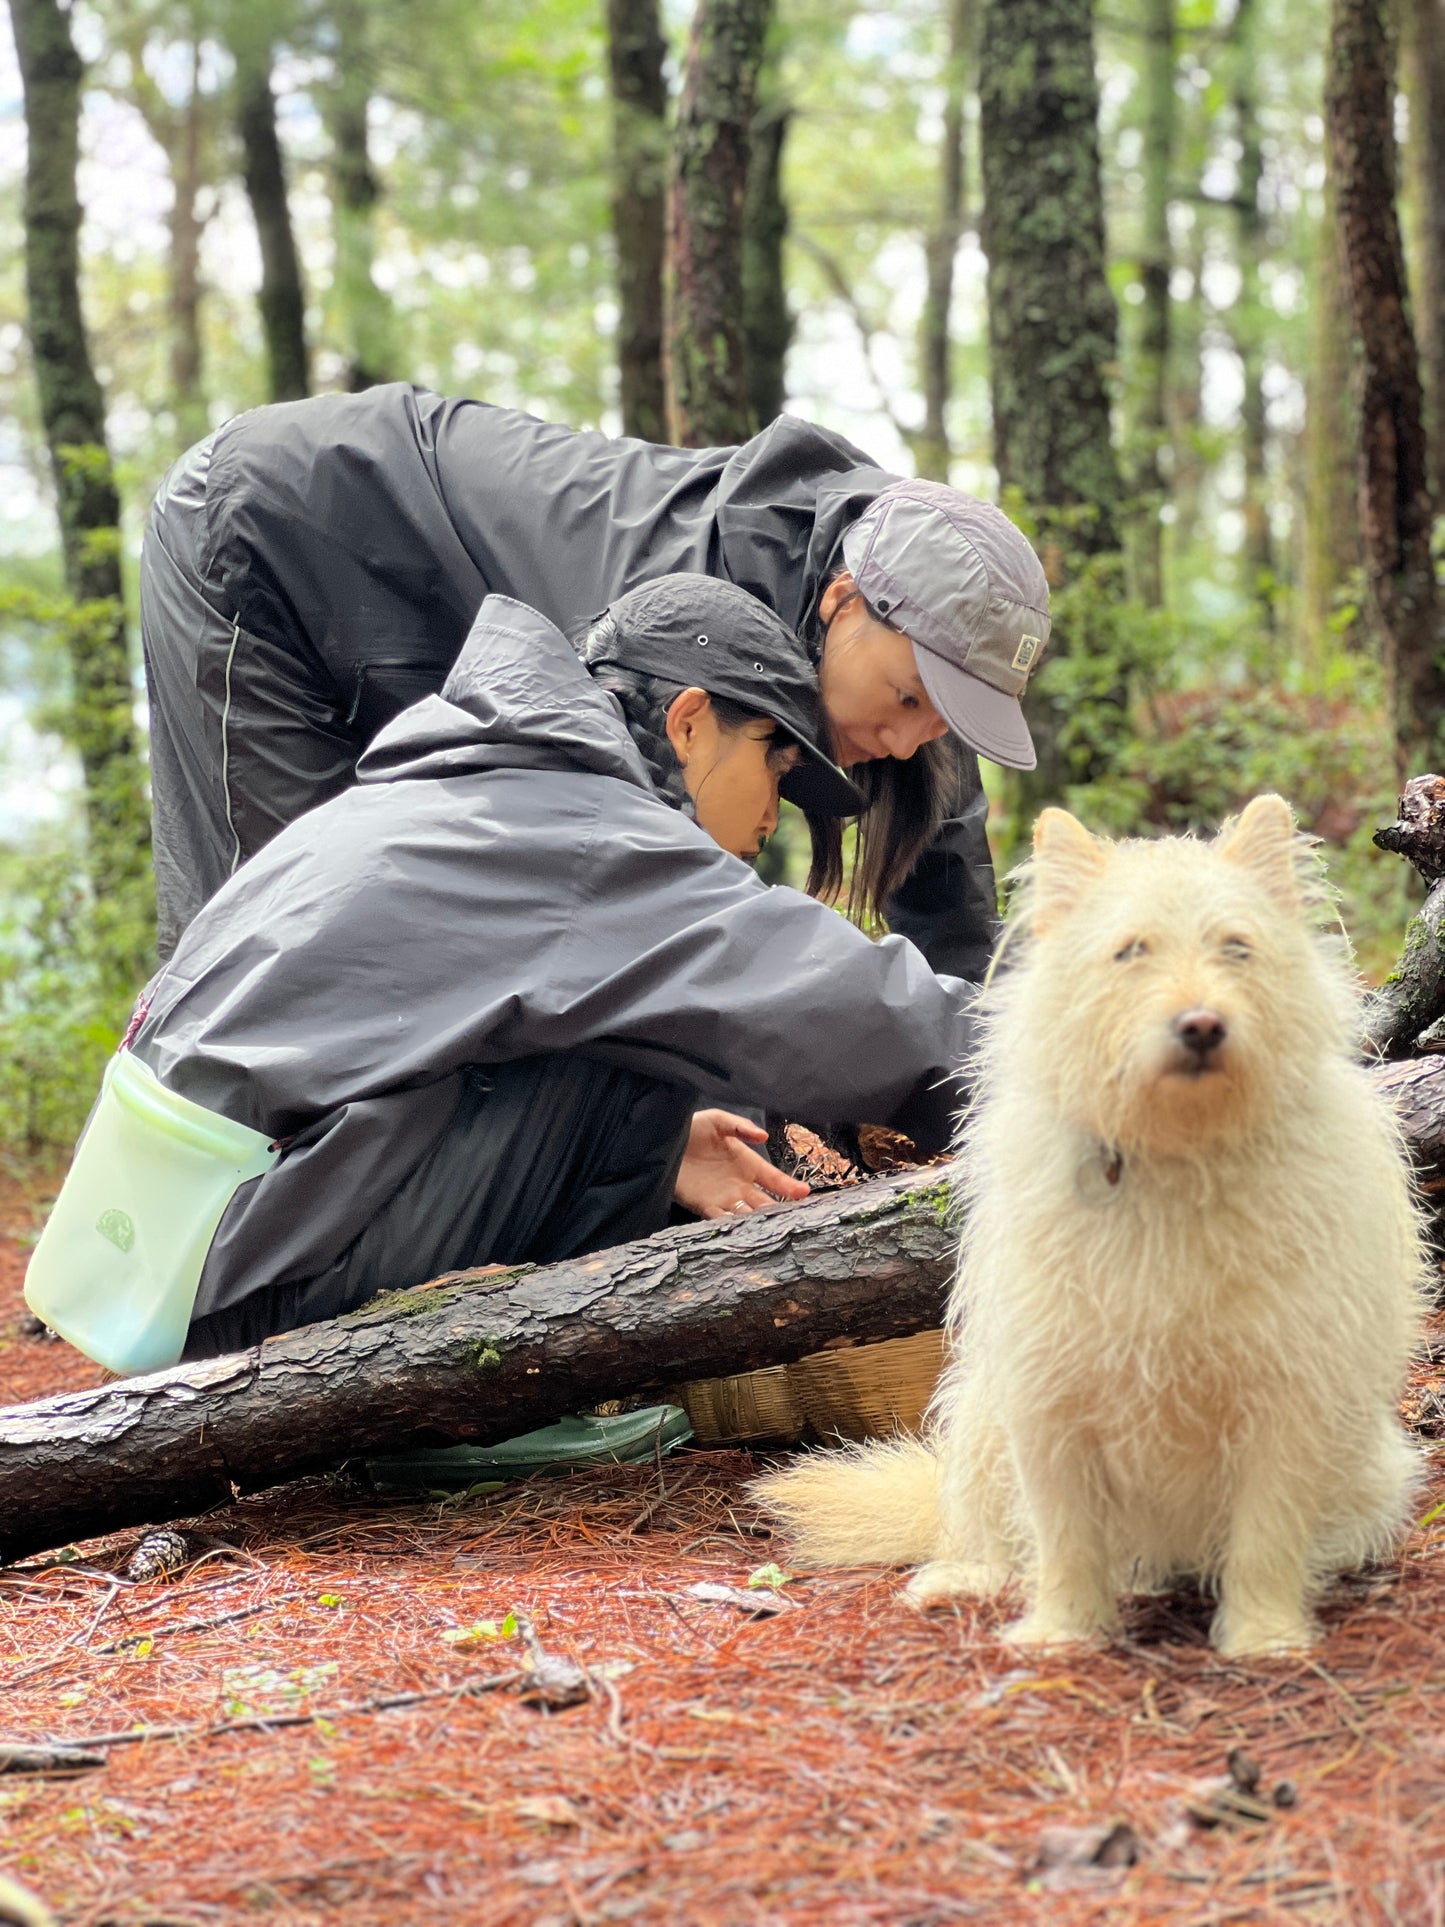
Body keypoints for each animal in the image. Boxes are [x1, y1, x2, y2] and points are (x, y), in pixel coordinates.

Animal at [762, 793, 1433, 1657]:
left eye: (1235, 946)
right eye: (1129, 951)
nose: (1201, 1024)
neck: (1172, 1153)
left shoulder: (1284, 1399)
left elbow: (1265, 1533)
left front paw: (1261, 1636)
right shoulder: (1052, 1401)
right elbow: (1065, 1537)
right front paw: (1061, 1633)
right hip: (981, 1420)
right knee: (983, 1530)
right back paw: (963, 1578)